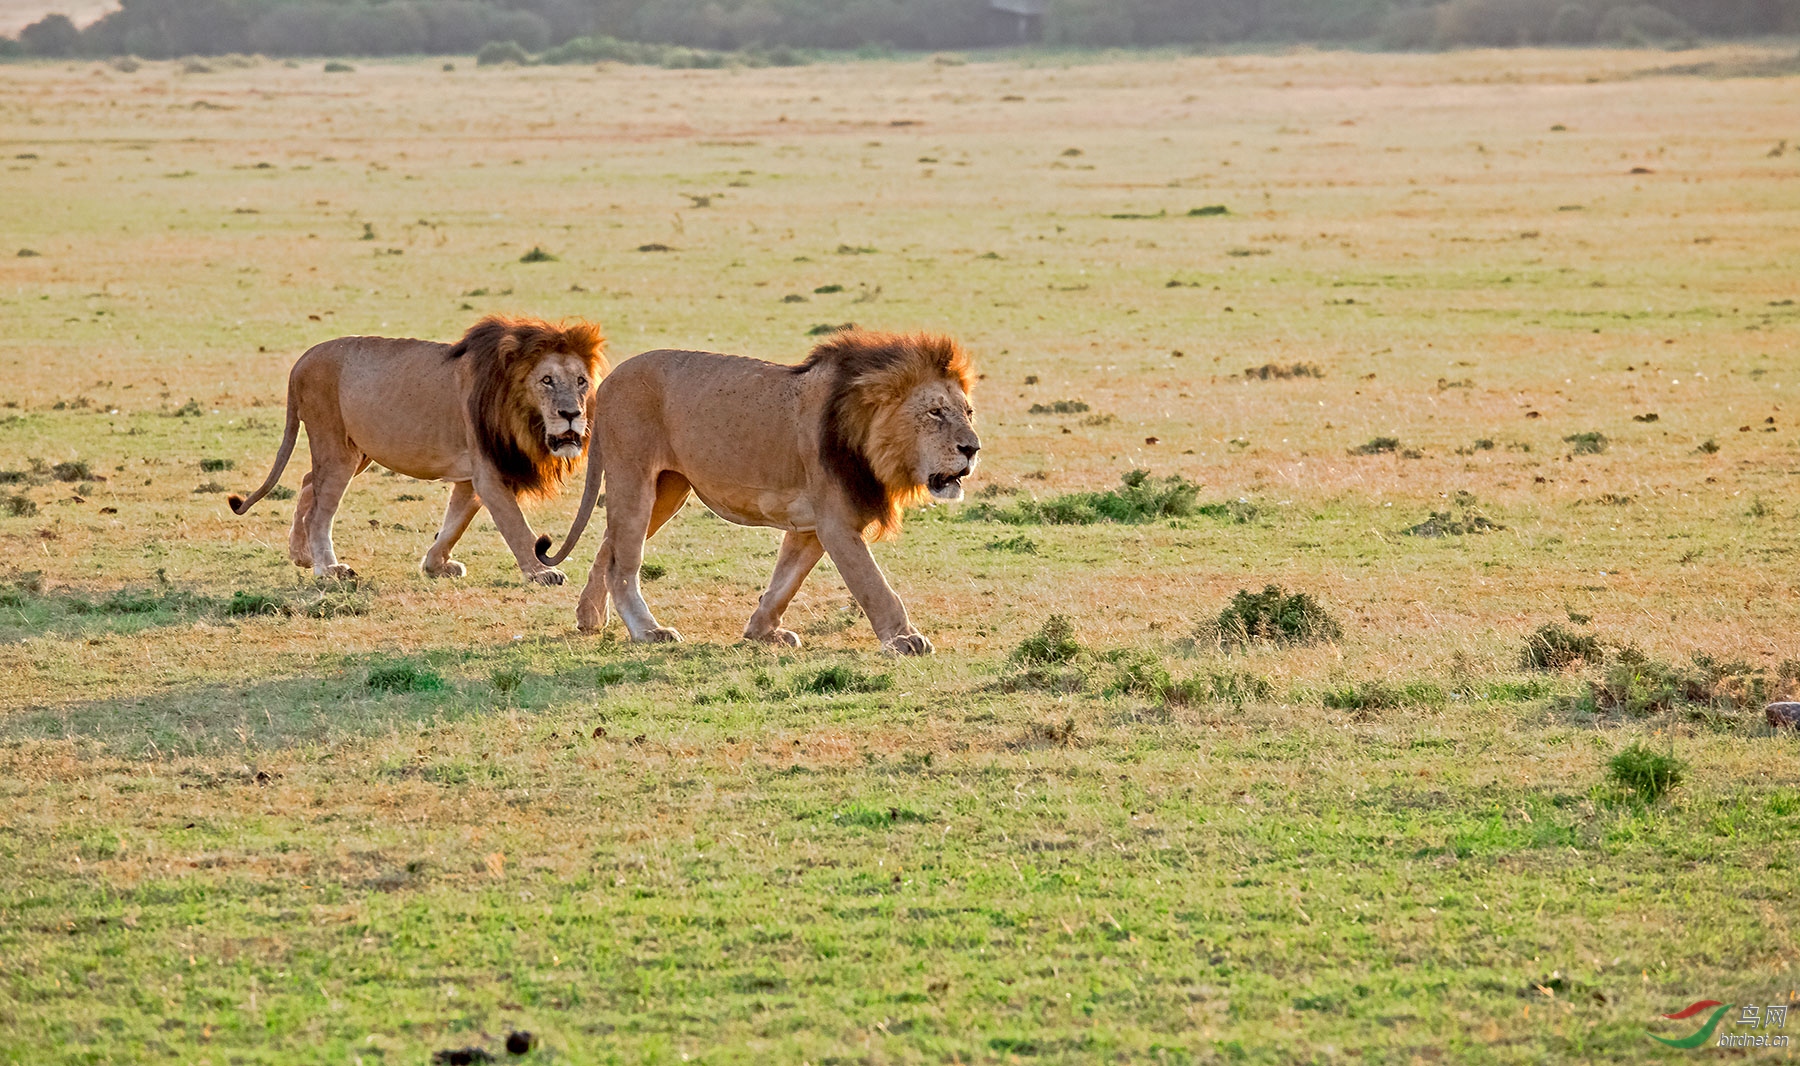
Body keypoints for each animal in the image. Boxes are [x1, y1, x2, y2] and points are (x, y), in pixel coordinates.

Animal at [225, 311, 601, 587]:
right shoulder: (489, 473)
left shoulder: (470, 478)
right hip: (335, 443)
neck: (520, 413)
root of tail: (303, 360)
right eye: (547, 380)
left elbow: (454, 525)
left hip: (358, 451)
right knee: (320, 509)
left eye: (581, 381)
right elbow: (516, 525)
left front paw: (437, 565)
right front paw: (541, 572)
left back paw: (301, 556)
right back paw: (328, 569)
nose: (571, 414)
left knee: (307, 483)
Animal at [536, 329, 986, 655]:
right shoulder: (836, 524)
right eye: (935, 412)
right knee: (623, 563)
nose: (973, 448)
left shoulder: (812, 527)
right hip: (634, 476)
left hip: (668, 489)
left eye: (968, 412)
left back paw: (590, 617)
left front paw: (762, 631)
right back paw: (648, 631)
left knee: (607, 548)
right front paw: (904, 638)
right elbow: (874, 586)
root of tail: (605, 382)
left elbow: (785, 581)